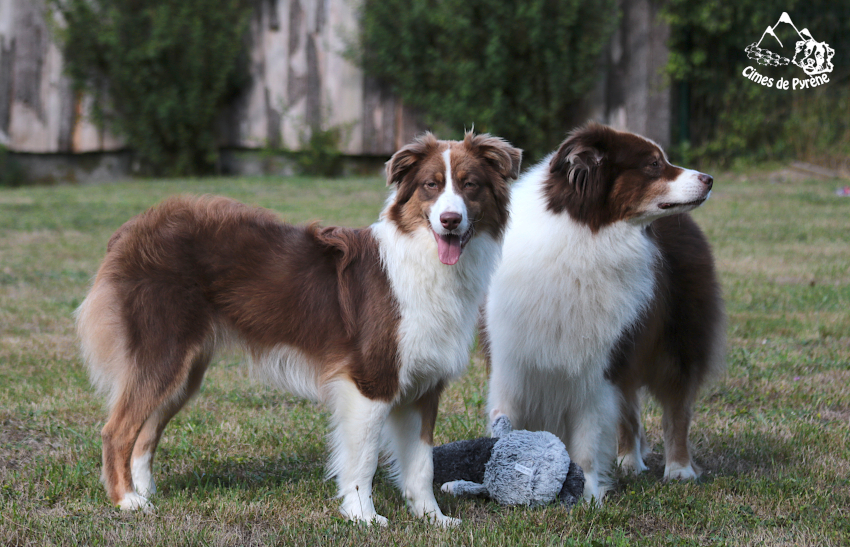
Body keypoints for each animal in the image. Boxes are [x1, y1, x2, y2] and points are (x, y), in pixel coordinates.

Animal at [76, 131, 521, 525]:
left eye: (470, 185)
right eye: (431, 185)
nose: (450, 220)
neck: (425, 259)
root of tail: (134, 228)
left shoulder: (424, 387)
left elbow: (422, 464)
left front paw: (433, 518)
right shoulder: (370, 381)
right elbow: (362, 459)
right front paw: (363, 516)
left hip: (185, 370)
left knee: (145, 434)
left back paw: (145, 493)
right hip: (163, 353)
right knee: (117, 431)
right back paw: (126, 501)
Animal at [484, 123, 724, 502]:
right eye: (654, 164)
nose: (709, 179)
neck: (588, 236)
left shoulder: (600, 365)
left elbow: (589, 435)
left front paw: (588, 493)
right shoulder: (510, 361)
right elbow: (504, 421)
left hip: (677, 341)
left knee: (676, 407)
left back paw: (679, 469)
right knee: (630, 410)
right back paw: (629, 461)